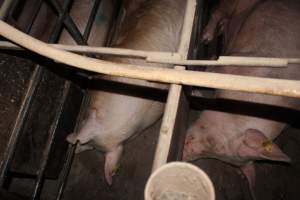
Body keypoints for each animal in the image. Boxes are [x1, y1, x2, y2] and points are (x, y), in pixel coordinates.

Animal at [183, 0, 300, 195]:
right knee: (219, 11)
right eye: (215, 144)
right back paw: (206, 38)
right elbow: (210, 71)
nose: (183, 156)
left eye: (217, 154)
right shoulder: (230, 66)